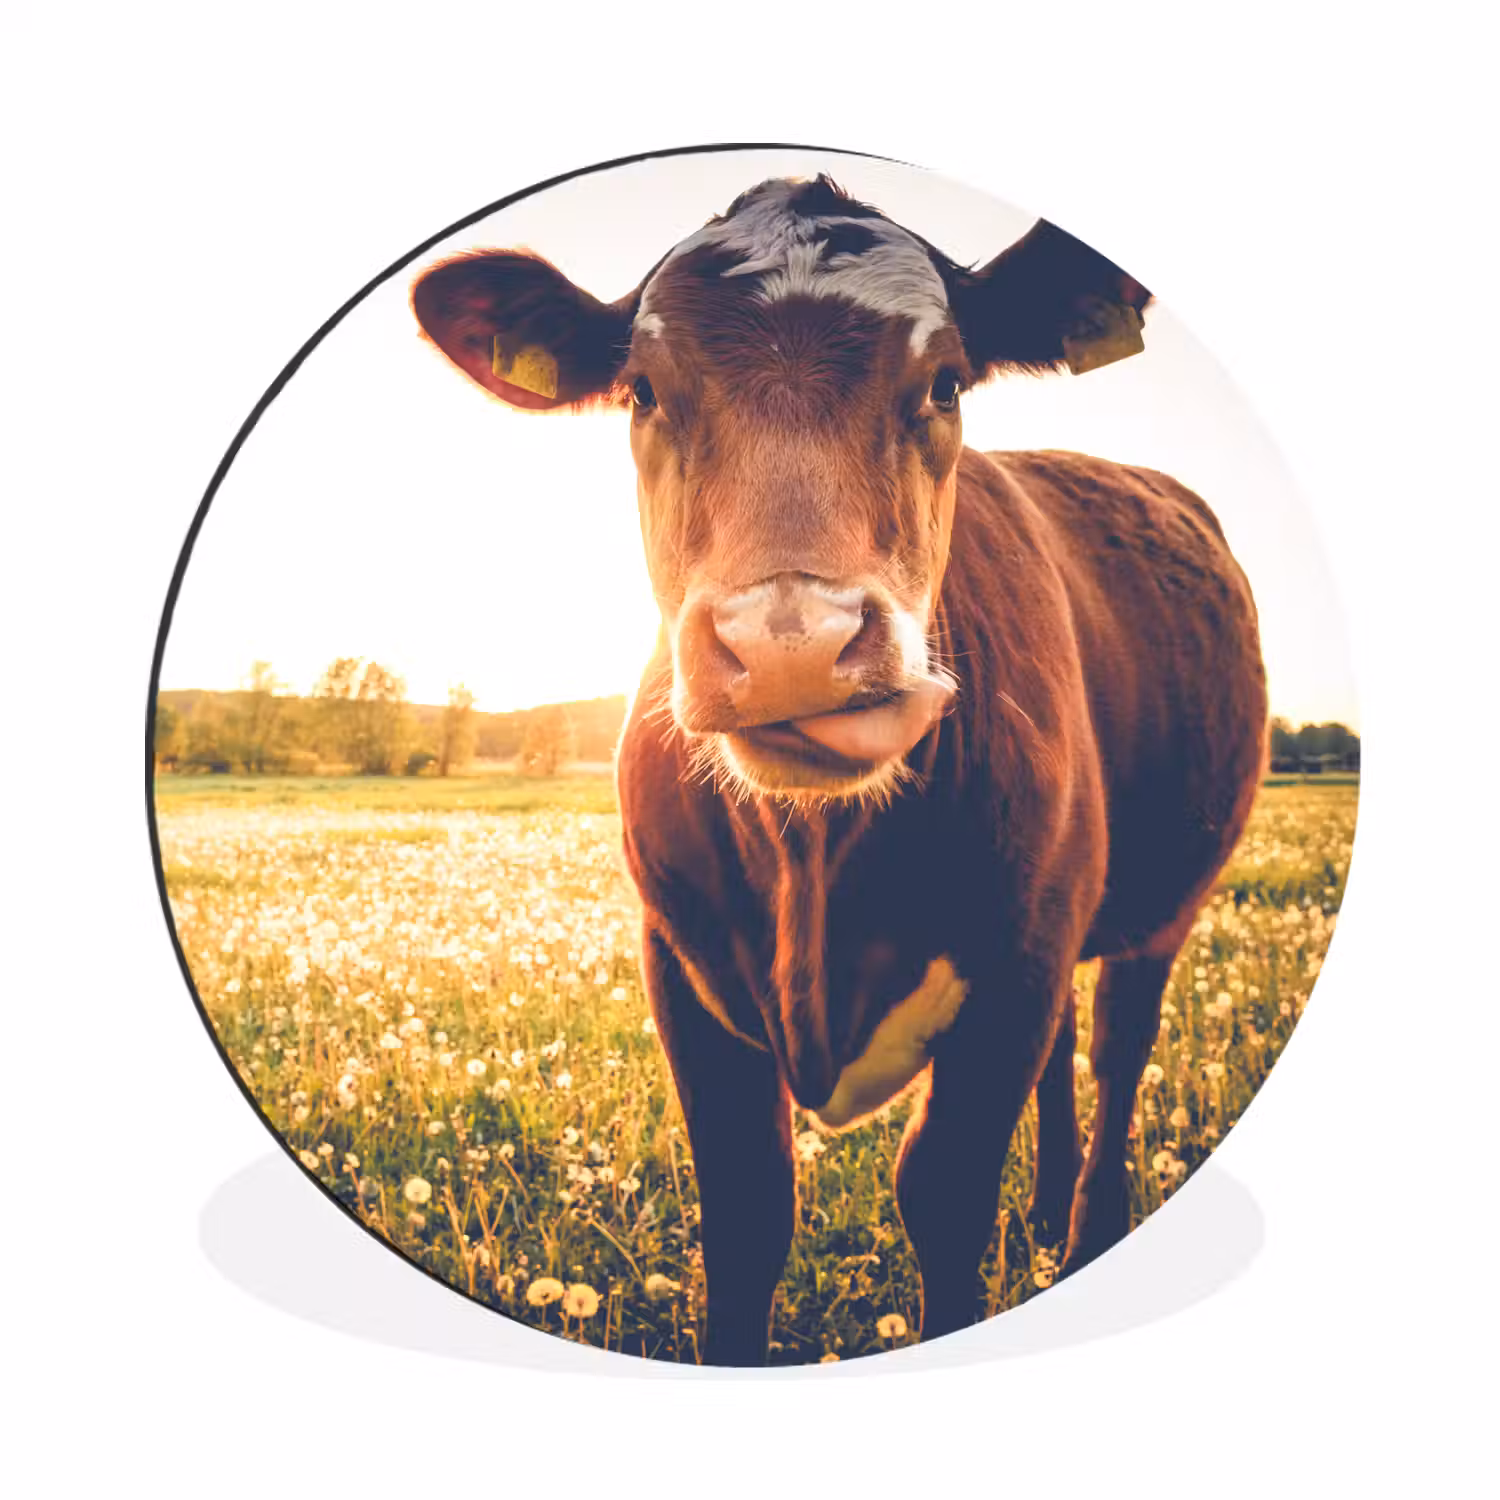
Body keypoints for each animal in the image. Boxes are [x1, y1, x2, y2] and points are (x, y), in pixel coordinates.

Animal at [411, 174, 1268, 1365]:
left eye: (946, 380)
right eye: (642, 391)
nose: (792, 644)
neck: (816, 861)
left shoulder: (1015, 967)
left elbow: (943, 1194)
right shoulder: (679, 964)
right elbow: (748, 1210)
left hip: (1156, 911)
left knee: (1116, 1053)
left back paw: (1084, 1232)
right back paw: (1046, 1216)